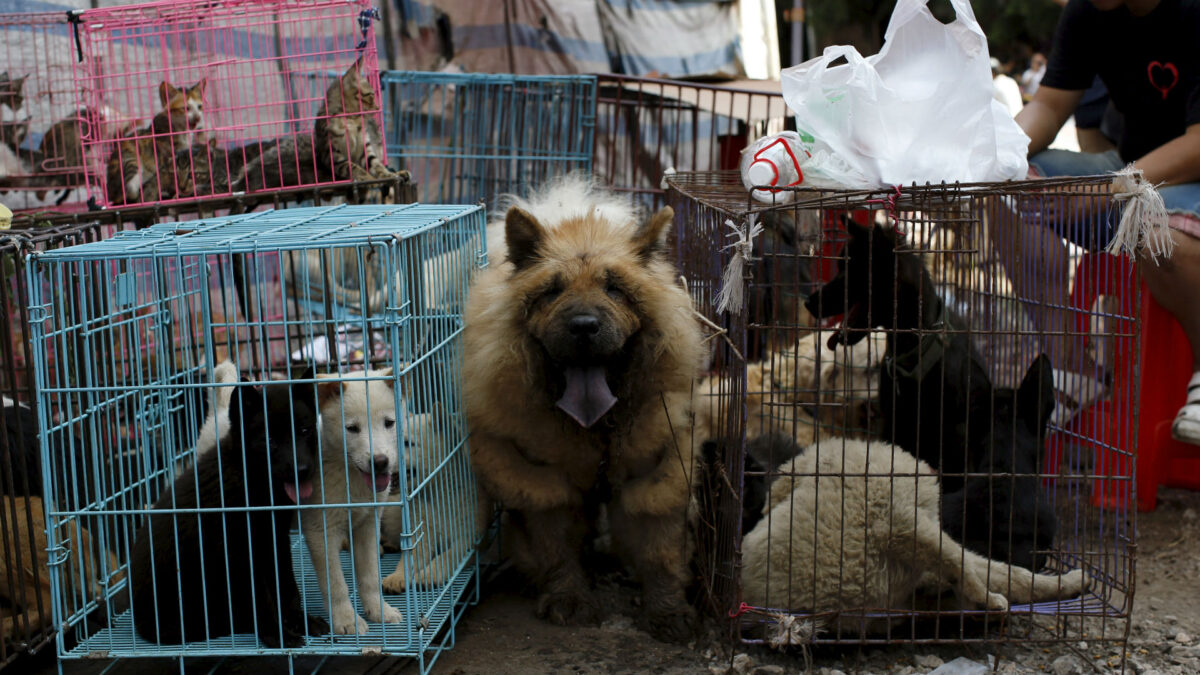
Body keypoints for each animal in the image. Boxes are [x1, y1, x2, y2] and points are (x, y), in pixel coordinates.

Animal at [129, 374, 328, 643]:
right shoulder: (239, 556)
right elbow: (262, 600)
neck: (248, 479)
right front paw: (278, 635)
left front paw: (301, 621)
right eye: (270, 441)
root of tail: (140, 622)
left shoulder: (275, 540)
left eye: (305, 431)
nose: (302, 471)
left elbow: (287, 587)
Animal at [304, 365, 403, 634]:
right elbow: (336, 584)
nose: (380, 462)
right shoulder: (320, 532)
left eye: (389, 423)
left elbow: (370, 576)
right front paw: (347, 621)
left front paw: (380, 611)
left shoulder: (368, 525)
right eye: (352, 429)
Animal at [463, 174, 705, 638]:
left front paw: (669, 612)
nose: (583, 326)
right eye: (552, 291)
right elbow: (556, 547)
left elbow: (661, 551)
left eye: (615, 289)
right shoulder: (541, 477)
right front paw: (569, 598)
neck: (595, 428)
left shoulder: (655, 469)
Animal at [806, 220, 993, 487]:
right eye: (840, 266)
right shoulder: (892, 426)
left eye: (851, 269)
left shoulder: (955, 445)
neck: (913, 353)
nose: (809, 302)